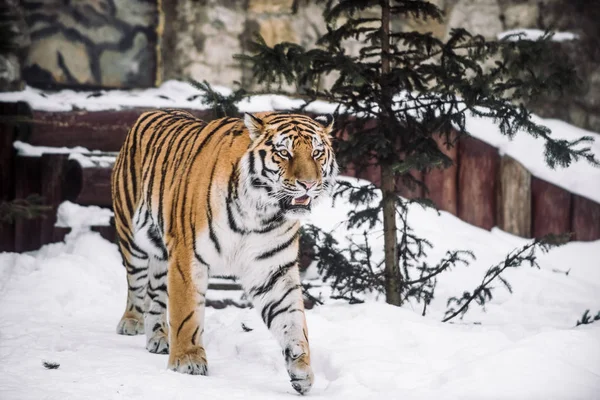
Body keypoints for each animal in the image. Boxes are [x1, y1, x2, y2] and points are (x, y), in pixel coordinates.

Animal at [111, 108, 338, 394]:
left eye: (317, 153)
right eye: (284, 152)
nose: (308, 184)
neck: (261, 213)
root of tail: (150, 111)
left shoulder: (272, 269)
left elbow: (292, 319)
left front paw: (301, 367)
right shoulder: (187, 257)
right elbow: (187, 313)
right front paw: (188, 360)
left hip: (161, 253)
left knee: (156, 295)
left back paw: (159, 337)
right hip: (134, 238)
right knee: (136, 285)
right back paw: (131, 323)